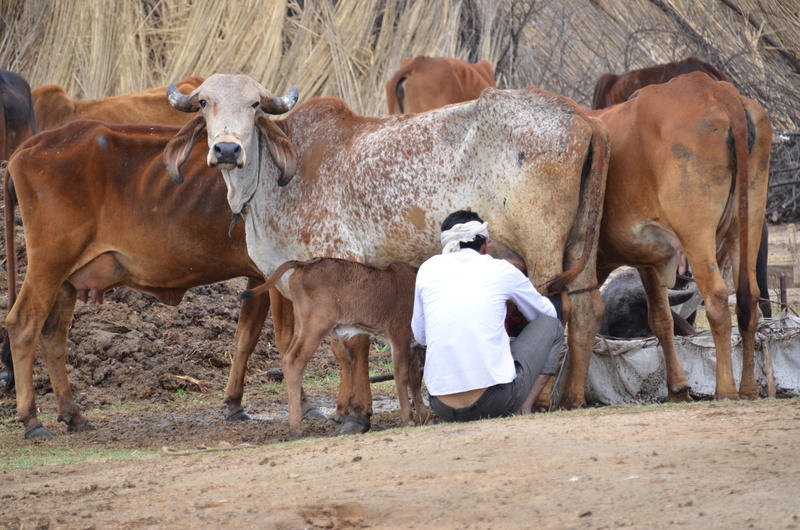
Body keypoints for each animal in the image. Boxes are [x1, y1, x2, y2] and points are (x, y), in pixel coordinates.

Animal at [2, 116, 362, 438]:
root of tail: (31, 146)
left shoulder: (257, 278)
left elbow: (245, 338)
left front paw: (234, 403)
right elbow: (288, 340)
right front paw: (306, 404)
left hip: (67, 278)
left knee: (53, 335)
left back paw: (73, 414)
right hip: (50, 262)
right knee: (23, 325)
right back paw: (32, 420)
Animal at [242, 258, 430, 433]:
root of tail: (304, 264)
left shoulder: (413, 344)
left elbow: (415, 378)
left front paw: (423, 415)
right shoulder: (400, 337)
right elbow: (402, 375)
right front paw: (409, 418)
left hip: (302, 326)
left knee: (287, 357)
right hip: (316, 326)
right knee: (294, 361)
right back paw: (296, 428)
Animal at [557, 72, 770, 408]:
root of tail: (714, 89)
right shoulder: (649, 261)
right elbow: (661, 320)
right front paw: (677, 388)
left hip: (696, 233)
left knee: (718, 299)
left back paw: (725, 388)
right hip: (747, 225)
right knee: (749, 299)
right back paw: (748, 388)